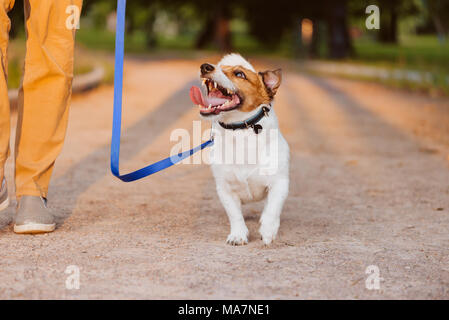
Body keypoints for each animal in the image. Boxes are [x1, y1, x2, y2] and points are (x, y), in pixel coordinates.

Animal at [190, 54, 290, 245]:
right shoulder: (225, 189)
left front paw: (268, 231)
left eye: (239, 74)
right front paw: (238, 235)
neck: (240, 130)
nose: (205, 67)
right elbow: (235, 215)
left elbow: (272, 209)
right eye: (221, 67)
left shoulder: (279, 183)